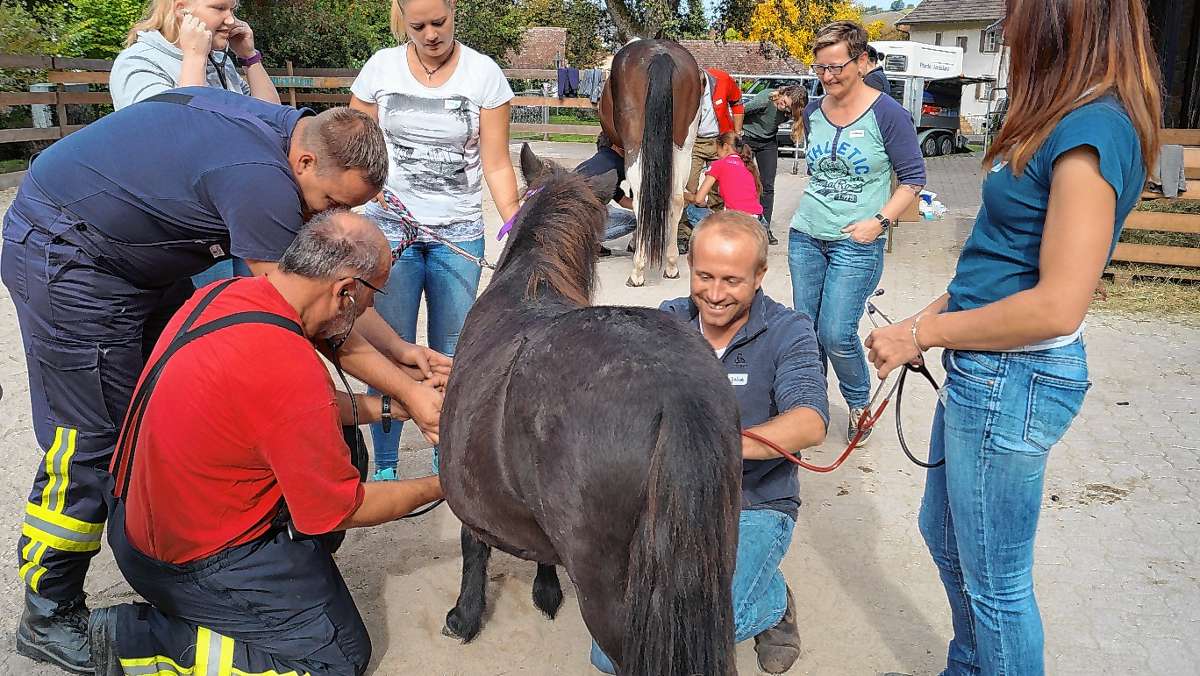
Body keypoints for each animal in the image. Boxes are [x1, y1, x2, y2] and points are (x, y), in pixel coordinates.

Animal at [436, 145, 744, 672]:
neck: (530, 280)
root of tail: (677, 393)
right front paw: (545, 589)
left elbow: (472, 545)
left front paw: (465, 615)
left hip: (612, 601)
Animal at [600, 39, 700, 288]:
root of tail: (660, 54)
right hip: (683, 147)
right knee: (676, 198)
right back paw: (671, 265)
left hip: (636, 146)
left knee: (641, 198)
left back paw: (638, 271)